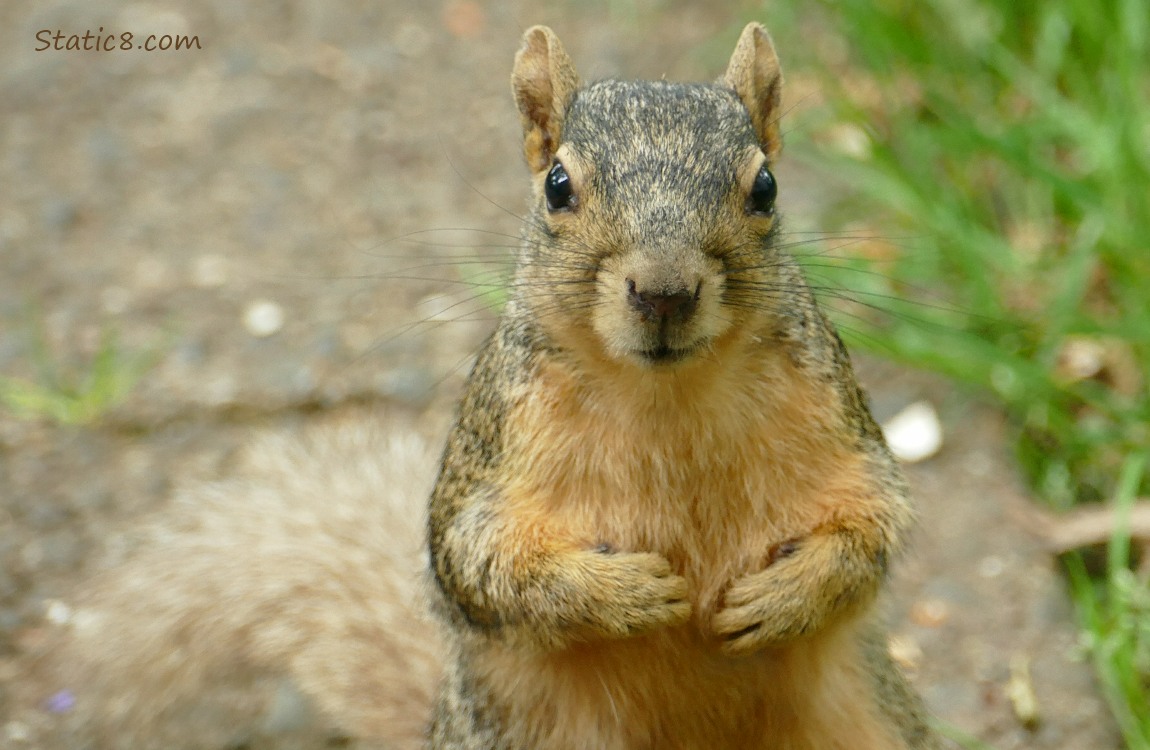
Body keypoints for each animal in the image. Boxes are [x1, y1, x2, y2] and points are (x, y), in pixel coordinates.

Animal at [13, 18, 938, 750]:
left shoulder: (842, 423)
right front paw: (622, 593)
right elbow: (478, 565)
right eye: (557, 186)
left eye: (766, 188)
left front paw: (789, 594)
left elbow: (877, 523)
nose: (665, 291)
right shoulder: (490, 456)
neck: (667, 395)